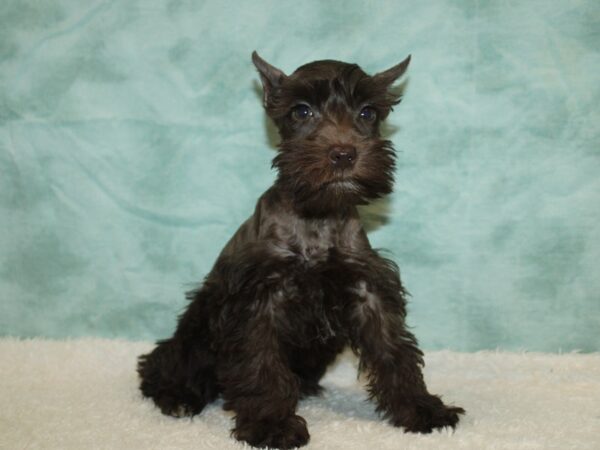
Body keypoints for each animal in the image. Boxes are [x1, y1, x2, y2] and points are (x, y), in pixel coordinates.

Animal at [139, 51, 464, 448]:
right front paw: (271, 424)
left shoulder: (369, 289)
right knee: (165, 363)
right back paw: (178, 395)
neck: (317, 217)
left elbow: (394, 350)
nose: (343, 154)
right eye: (301, 111)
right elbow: (261, 364)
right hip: (197, 327)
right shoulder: (257, 299)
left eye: (368, 112)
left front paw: (421, 408)